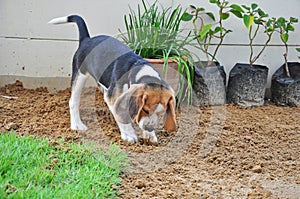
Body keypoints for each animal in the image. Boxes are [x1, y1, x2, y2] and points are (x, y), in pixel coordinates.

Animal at [48, 15, 176, 143]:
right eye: (145, 110)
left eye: (161, 113)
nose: (149, 128)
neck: (138, 68)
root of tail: (87, 40)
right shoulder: (114, 98)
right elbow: (122, 116)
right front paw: (129, 135)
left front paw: (150, 135)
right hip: (80, 74)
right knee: (73, 101)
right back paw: (77, 125)